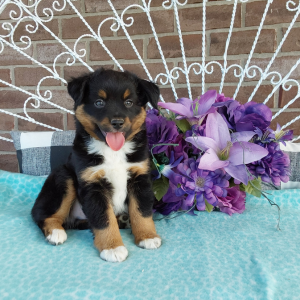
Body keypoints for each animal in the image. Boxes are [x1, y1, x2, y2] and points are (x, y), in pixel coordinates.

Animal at [31, 68, 162, 262]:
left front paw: (148, 236)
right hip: (64, 178)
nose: (117, 122)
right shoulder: (93, 184)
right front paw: (112, 247)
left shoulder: (140, 177)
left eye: (129, 102)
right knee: (42, 215)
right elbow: (103, 218)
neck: (113, 152)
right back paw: (55, 232)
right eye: (99, 102)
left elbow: (142, 211)